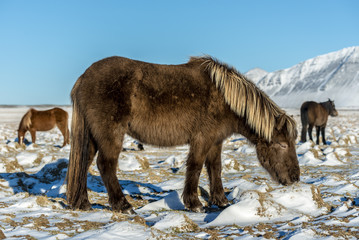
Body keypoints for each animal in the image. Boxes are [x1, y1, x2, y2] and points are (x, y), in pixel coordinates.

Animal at [67, 55, 300, 213]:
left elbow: (215, 168)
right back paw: (122, 205)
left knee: (84, 164)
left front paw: (221, 200)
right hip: (111, 134)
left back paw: (82, 203)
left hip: (93, 137)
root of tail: (83, 78)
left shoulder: (216, 141)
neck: (225, 99)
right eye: (283, 145)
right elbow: (195, 167)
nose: (295, 178)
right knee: (105, 165)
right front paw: (194, 203)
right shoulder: (202, 139)